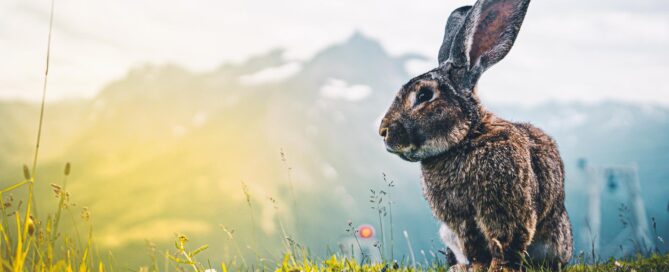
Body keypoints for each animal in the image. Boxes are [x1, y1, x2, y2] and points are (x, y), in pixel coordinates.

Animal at [378, 0, 572, 270]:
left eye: (425, 95)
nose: (383, 131)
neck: (467, 137)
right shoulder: (462, 223)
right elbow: (477, 249)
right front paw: (477, 267)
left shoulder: (507, 212)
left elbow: (506, 245)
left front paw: (499, 268)